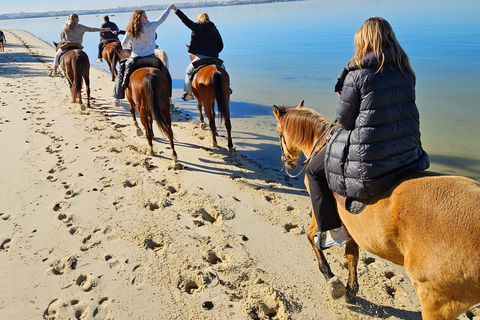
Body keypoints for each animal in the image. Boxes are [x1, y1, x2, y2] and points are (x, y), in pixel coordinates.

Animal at [274, 102, 480, 320]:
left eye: (279, 132)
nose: (287, 161)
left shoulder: (319, 213)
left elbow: (311, 237)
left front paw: (332, 280)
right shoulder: (352, 228)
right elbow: (352, 255)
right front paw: (351, 290)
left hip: (436, 301)